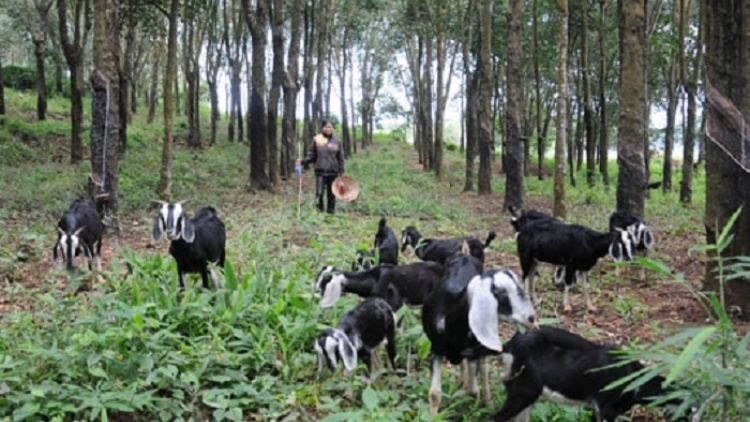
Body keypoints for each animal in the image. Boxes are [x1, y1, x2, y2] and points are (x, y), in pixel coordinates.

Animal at [424, 251, 540, 416]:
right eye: (501, 292)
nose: (531, 318)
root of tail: (465, 255)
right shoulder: (436, 350)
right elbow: (434, 394)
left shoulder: (474, 352)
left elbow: (473, 391)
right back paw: (461, 383)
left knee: (484, 372)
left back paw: (488, 402)